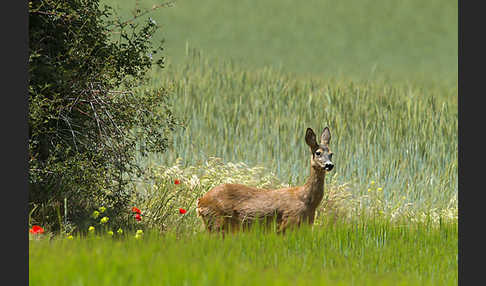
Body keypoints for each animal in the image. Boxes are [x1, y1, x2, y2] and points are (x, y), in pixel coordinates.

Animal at [196, 126, 332, 233]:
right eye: (318, 153)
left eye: (331, 154)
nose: (329, 165)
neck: (307, 200)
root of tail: (201, 201)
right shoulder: (288, 222)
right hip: (216, 221)